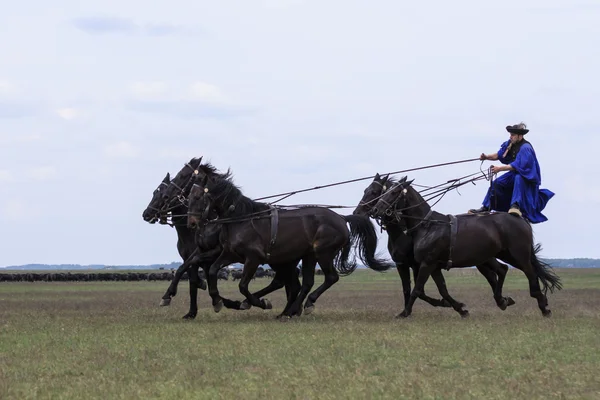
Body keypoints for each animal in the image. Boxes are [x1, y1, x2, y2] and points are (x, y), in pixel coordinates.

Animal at [157, 157, 302, 316]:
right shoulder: (205, 252)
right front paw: (169, 295)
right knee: (290, 283)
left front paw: (219, 301)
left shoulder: (219, 252)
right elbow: (186, 266)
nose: (165, 197)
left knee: (285, 282)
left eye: (183, 175)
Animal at [186, 173, 394, 318]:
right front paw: (218, 302)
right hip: (309, 256)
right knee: (306, 283)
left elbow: (243, 286)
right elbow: (213, 271)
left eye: (197, 196)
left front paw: (258, 303)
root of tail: (342, 218)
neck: (242, 219)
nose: (192, 223)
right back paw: (290, 310)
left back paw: (303, 306)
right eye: (188, 196)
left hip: (322, 253)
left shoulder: (253, 258)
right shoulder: (230, 255)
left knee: (329, 278)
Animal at [354, 173, 512, 318]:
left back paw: (502, 300)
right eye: (366, 190)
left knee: (496, 272)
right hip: (480, 260)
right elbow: (411, 289)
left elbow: (419, 290)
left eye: (374, 192)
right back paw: (503, 300)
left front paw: (443, 304)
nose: (357, 212)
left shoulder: (419, 264)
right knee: (493, 275)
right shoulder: (403, 264)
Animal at [370, 177, 564, 318]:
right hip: (494, 256)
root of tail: (519, 218)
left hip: (517, 255)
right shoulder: (433, 266)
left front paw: (405, 312)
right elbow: (442, 289)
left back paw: (543, 305)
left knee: (530, 273)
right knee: (503, 270)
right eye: (384, 191)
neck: (428, 226)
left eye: (395, 192)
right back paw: (503, 300)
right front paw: (460, 308)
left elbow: (417, 289)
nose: (376, 210)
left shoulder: (426, 263)